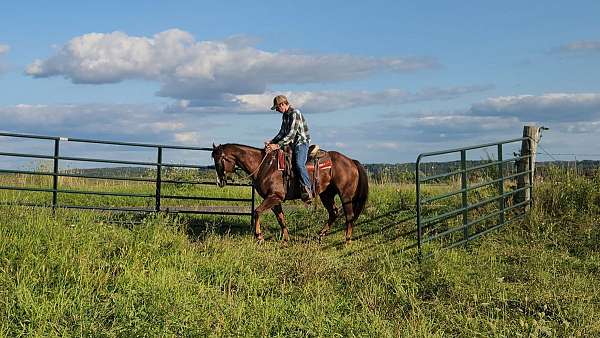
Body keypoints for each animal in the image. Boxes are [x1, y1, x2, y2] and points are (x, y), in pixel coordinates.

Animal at [211, 143, 370, 243]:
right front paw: (286, 238)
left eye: (219, 160)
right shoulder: (275, 199)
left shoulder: (274, 197)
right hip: (327, 194)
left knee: (349, 215)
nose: (220, 182)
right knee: (334, 213)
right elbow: (281, 218)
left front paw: (259, 236)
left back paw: (347, 240)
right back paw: (321, 235)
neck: (264, 166)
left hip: (345, 195)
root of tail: (351, 161)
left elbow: (257, 212)